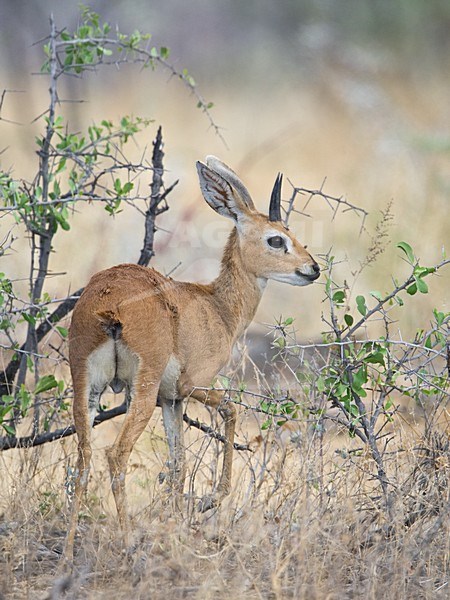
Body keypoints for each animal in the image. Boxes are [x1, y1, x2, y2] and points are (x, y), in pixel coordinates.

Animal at [64, 155, 320, 556]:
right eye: (276, 239)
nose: (312, 269)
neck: (217, 308)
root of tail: (109, 305)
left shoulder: (171, 400)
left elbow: (179, 462)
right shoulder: (190, 387)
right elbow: (231, 410)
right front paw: (207, 501)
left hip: (86, 386)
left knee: (83, 459)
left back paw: (68, 549)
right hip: (141, 389)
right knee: (115, 455)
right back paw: (127, 543)